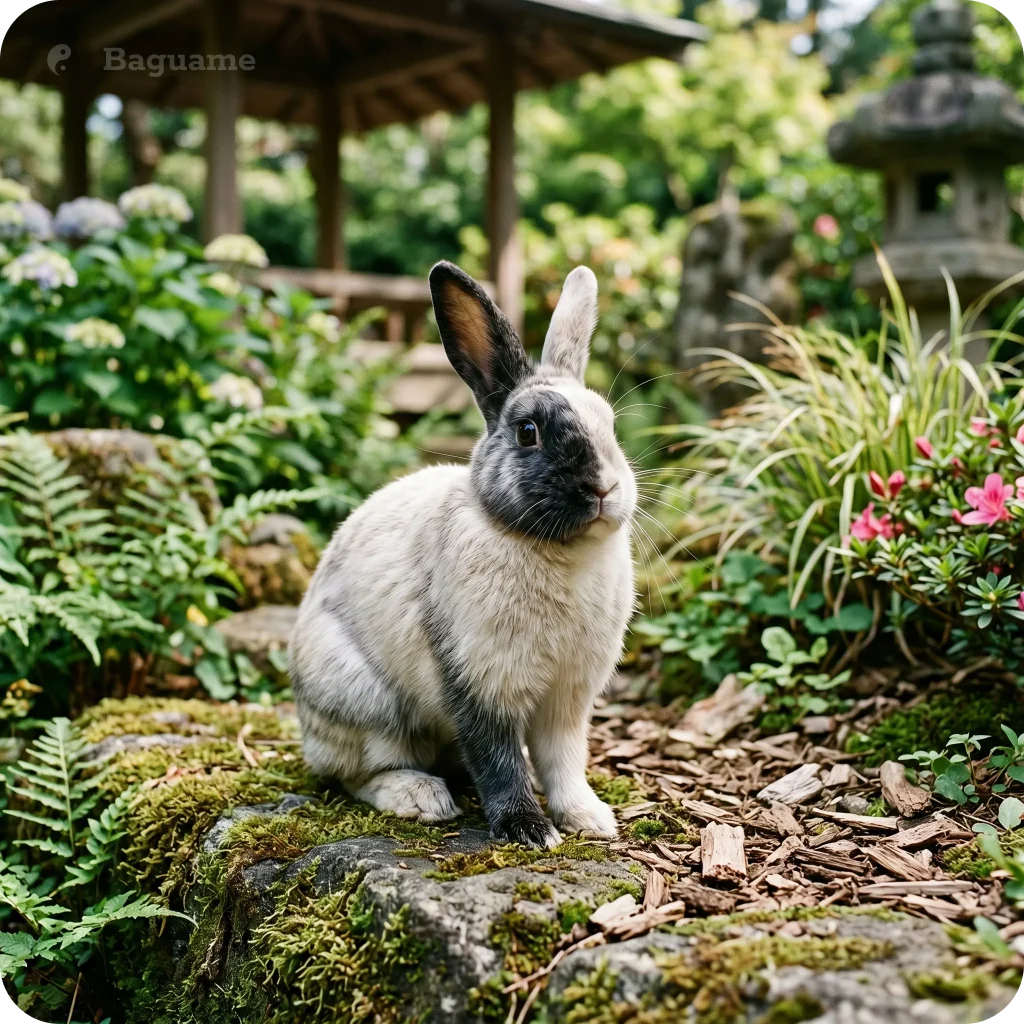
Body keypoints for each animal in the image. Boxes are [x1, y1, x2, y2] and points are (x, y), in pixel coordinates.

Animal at [289, 261, 637, 849]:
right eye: (528, 432)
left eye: (610, 424)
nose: (605, 488)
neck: (549, 547)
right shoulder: (476, 681)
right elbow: (499, 760)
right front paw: (528, 830)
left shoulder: (567, 699)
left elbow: (562, 759)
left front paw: (589, 818)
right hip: (365, 704)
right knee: (358, 774)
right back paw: (422, 797)